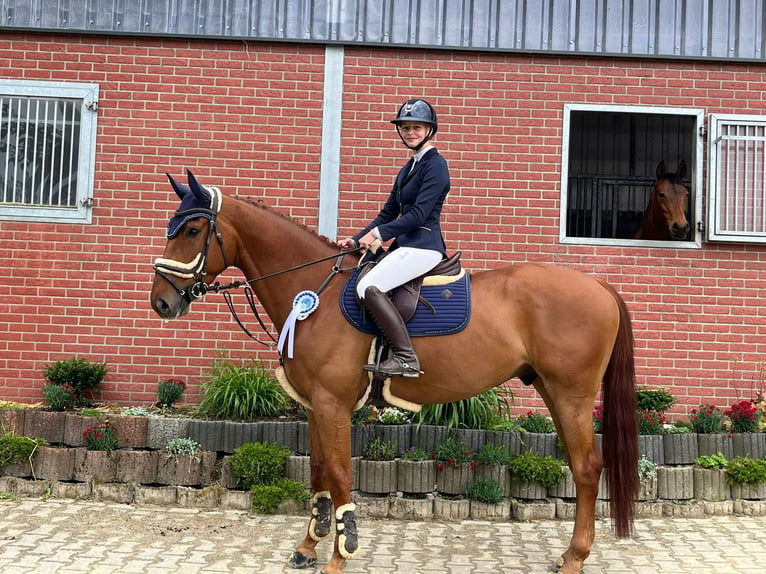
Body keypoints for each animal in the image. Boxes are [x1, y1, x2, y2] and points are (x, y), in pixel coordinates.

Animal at [150, 173, 640, 574]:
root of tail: (598, 285)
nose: (161, 303)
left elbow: (340, 474)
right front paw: (308, 546)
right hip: (553, 392)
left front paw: (340, 554)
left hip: (571, 394)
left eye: (192, 230)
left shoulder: (333, 403)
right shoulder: (314, 405)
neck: (315, 296)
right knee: (580, 465)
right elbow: (319, 471)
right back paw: (568, 554)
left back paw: (575, 558)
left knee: (587, 467)